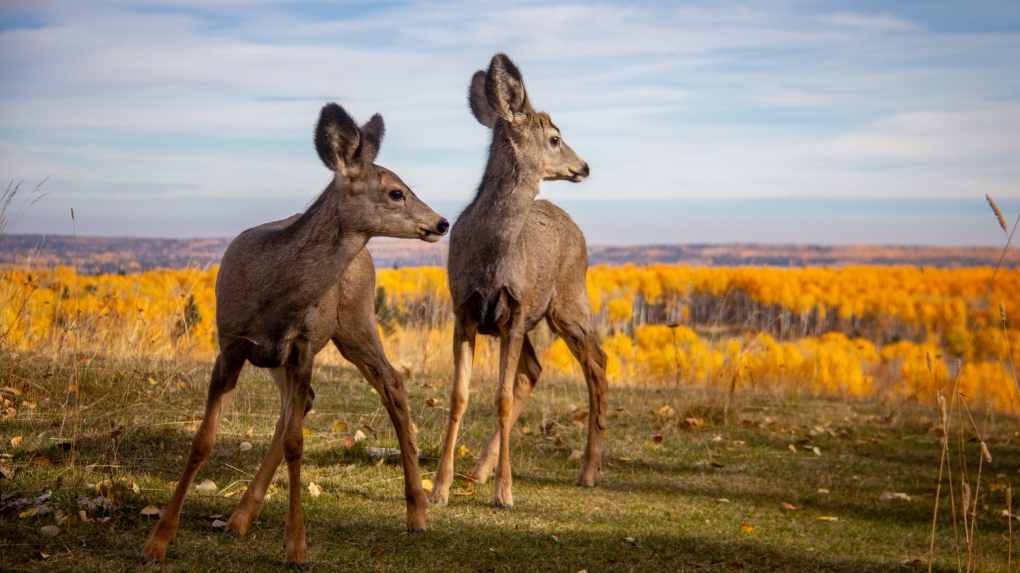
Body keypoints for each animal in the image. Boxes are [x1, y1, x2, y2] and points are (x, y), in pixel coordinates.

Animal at [141, 102, 448, 566]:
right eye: (397, 192)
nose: (443, 222)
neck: (270, 295)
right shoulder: (231, 345)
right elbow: (203, 441)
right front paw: (158, 541)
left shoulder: (303, 346)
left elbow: (296, 444)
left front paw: (297, 548)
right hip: (289, 354)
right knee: (302, 405)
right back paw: (239, 517)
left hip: (354, 321)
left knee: (390, 382)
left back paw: (417, 513)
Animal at [428, 53, 603, 507]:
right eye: (556, 138)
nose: (585, 166)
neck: (492, 256)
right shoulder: (466, 311)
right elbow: (459, 397)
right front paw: (439, 488)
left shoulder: (515, 310)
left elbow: (502, 399)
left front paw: (505, 492)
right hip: (534, 318)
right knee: (535, 369)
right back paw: (480, 470)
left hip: (567, 302)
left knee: (596, 361)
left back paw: (588, 471)